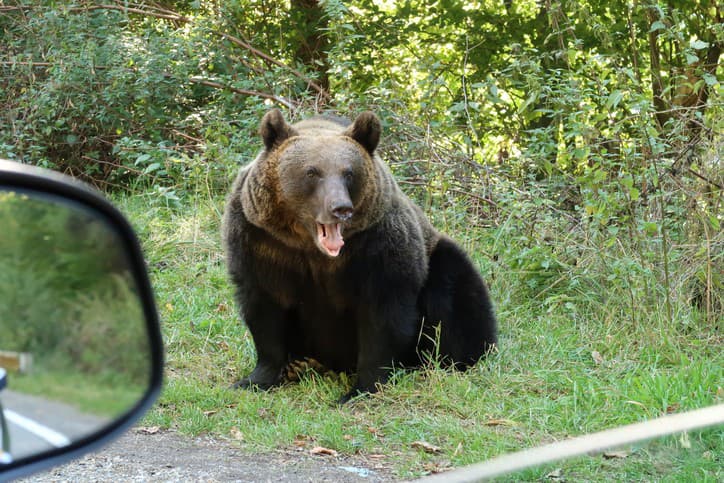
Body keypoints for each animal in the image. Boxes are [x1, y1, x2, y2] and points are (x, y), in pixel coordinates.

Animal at [223, 110, 494, 404]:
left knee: (455, 297)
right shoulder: (261, 244)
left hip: (436, 259)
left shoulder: (376, 248)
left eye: (348, 173)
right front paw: (256, 379)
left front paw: (361, 389)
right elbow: (265, 311)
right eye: (312, 172)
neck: (311, 248)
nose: (340, 208)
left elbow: (382, 318)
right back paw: (300, 364)